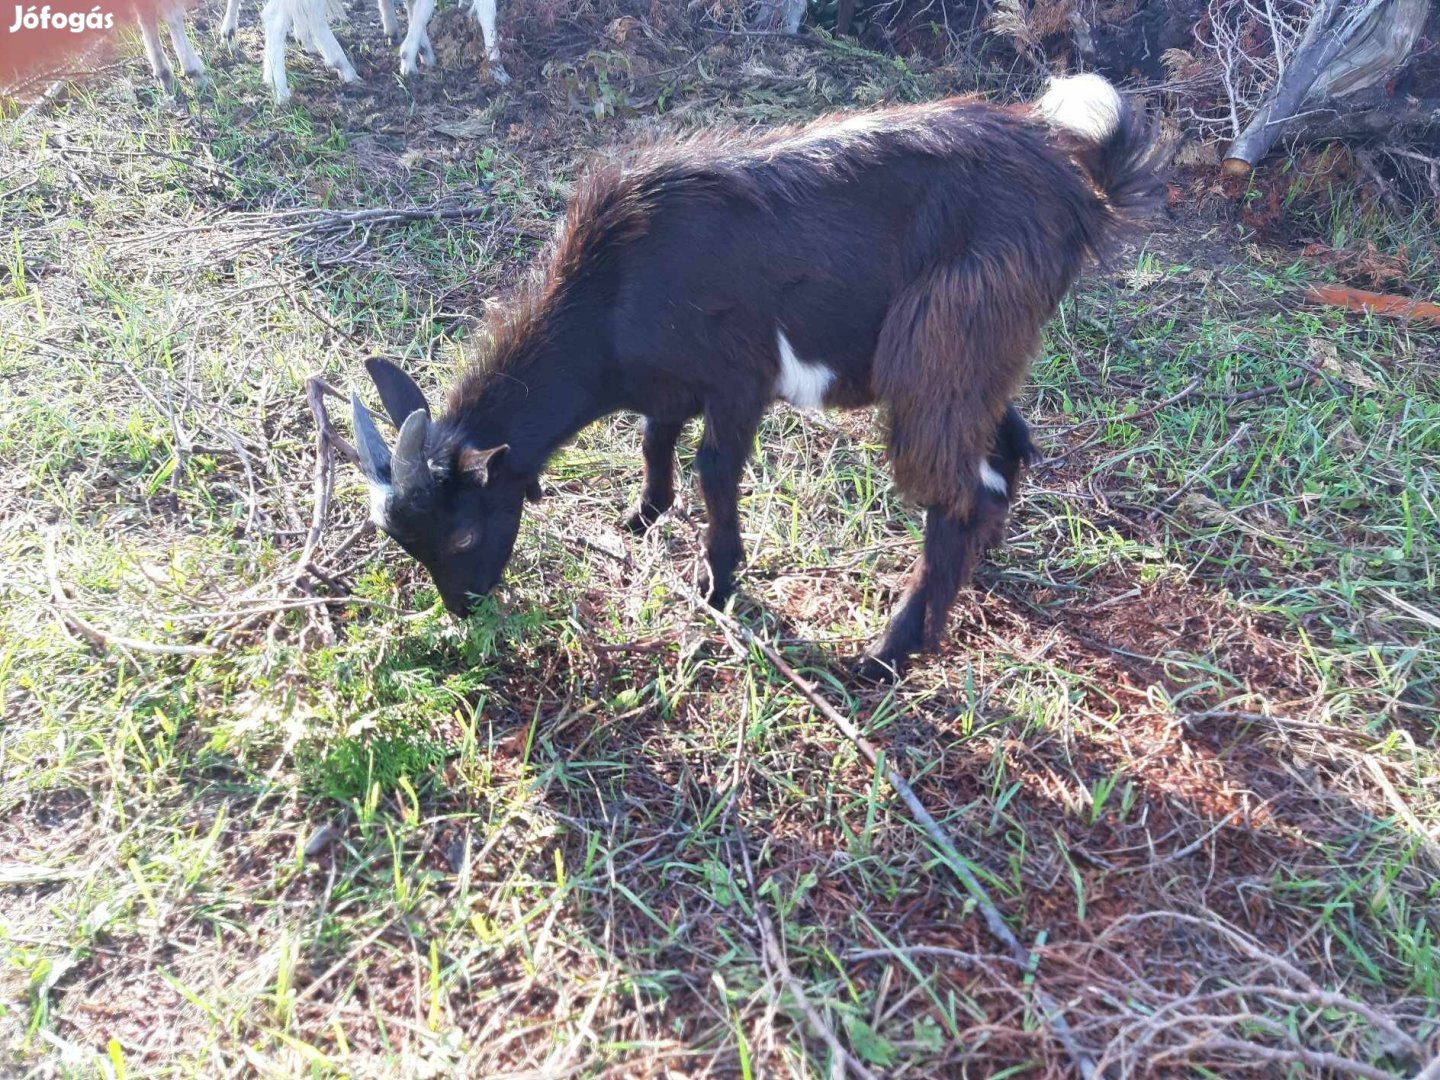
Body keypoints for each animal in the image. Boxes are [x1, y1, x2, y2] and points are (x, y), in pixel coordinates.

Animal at [348, 74, 1169, 676]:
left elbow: (714, 469)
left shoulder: (738, 380)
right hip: (981, 354)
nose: (466, 608)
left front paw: (718, 585)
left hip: (943, 345)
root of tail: (1077, 191)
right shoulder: (672, 385)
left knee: (957, 495)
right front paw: (642, 517)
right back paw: (974, 572)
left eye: (460, 534)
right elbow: (653, 439)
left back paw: (889, 652)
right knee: (1004, 451)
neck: (610, 292)